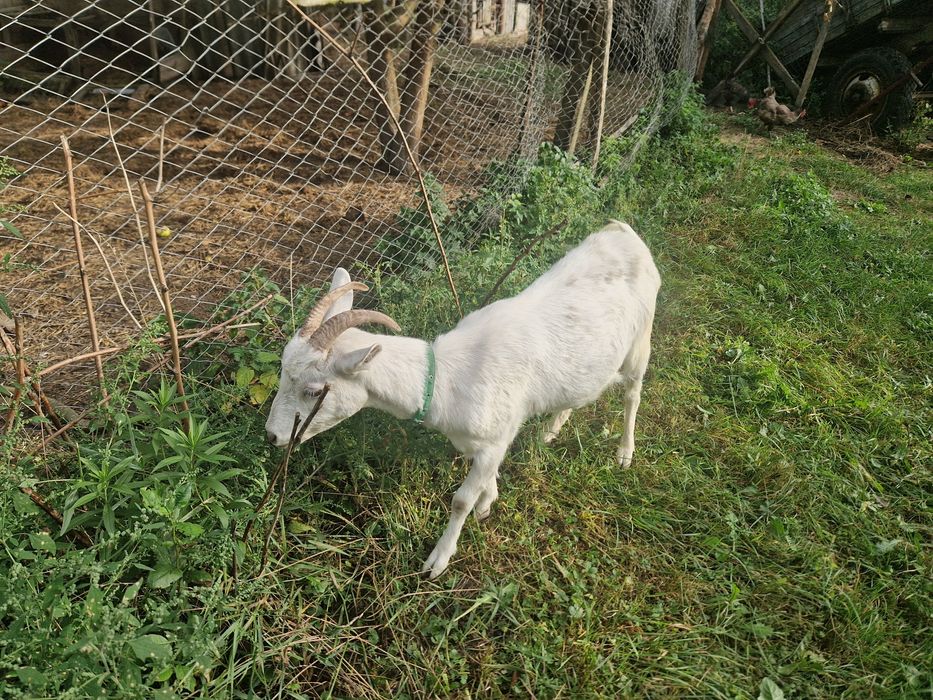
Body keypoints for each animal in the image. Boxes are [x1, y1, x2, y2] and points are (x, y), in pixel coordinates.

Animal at [266, 220, 661, 578]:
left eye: (314, 390)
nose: (272, 435)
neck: (446, 378)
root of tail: (623, 231)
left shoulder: (495, 436)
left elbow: (460, 500)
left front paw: (438, 560)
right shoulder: (490, 439)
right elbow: (486, 477)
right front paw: (488, 502)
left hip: (641, 339)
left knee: (633, 392)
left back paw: (625, 452)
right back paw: (551, 430)